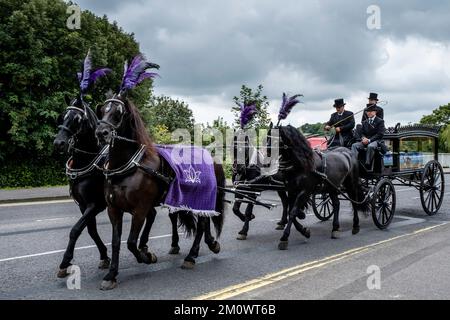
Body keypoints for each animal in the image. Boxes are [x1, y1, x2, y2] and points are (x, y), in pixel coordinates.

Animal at [96, 93, 227, 290]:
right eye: (103, 110)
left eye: (118, 113)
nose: (101, 132)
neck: (129, 168)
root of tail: (211, 156)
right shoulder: (114, 209)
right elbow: (116, 242)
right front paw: (111, 274)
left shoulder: (140, 210)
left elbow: (131, 242)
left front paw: (147, 256)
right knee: (203, 223)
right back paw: (208, 244)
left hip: (204, 197)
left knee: (202, 224)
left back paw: (192, 255)